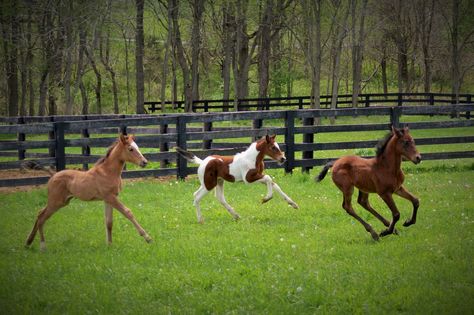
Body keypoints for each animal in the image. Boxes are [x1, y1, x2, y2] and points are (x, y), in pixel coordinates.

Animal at [24, 135, 152, 251]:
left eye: (137, 147)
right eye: (130, 149)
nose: (144, 162)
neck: (108, 172)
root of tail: (53, 175)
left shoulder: (108, 199)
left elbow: (109, 222)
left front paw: (109, 245)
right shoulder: (111, 197)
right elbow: (128, 212)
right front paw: (147, 237)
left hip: (60, 201)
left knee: (39, 213)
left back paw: (28, 242)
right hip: (56, 202)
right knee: (41, 217)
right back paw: (42, 246)